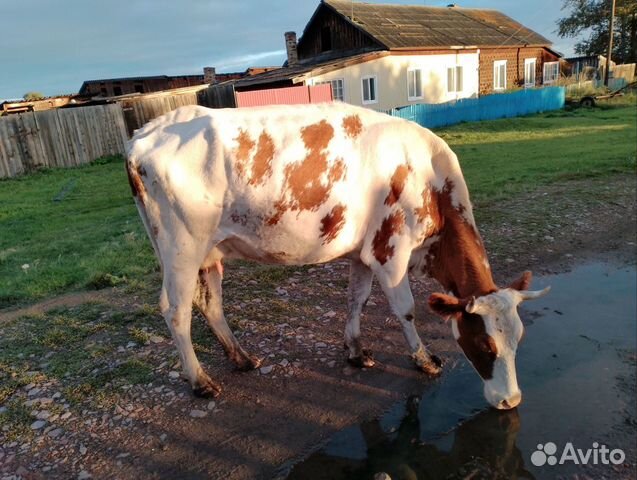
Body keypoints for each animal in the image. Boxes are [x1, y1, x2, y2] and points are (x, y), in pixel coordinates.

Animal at [126, 103, 548, 410]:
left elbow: (356, 299)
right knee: (175, 310)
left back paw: (241, 358)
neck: (429, 176)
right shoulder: (390, 251)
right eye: (485, 346)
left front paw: (356, 351)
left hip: (208, 252)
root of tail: (144, 134)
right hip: (181, 248)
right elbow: (406, 309)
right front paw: (424, 359)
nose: (510, 400)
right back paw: (200, 381)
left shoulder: (363, 252)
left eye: (519, 340)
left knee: (209, 302)